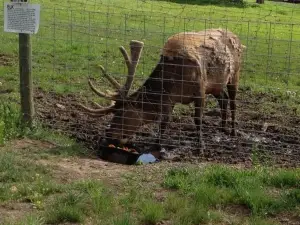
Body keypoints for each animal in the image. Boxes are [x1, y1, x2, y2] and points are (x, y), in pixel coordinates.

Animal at [78, 28, 245, 154]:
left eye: (121, 113)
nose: (109, 136)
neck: (173, 82)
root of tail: (236, 36)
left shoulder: (200, 90)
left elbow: (197, 120)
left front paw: (200, 147)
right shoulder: (169, 99)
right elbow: (164, 121)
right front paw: (157, 144)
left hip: (235, 74)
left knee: (233, 101)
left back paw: (232, 131)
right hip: (216, 84)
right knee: (223, 98)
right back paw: (222, 128)